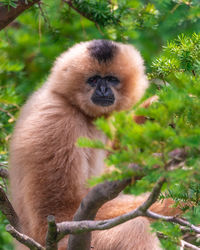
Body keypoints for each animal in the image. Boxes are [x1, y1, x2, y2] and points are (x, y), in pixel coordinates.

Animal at [9, 40, 177, 249]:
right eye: (94, 79)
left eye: (111, 79)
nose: (103, 90)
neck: (72, 105)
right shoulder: (58, 124)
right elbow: (62, 210)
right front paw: (177, 202)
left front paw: (152, 111)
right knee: (134, 227)